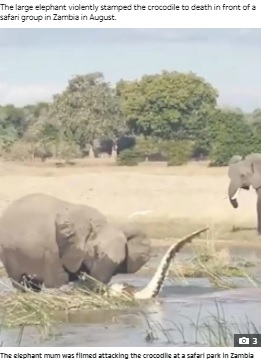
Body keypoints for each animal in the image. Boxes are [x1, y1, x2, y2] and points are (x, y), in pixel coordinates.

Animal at [0, 193, 150, 292]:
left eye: (121, 262)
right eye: (95, 251)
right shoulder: (54, 250)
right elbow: (56, 282)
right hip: (9, 251)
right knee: (20, 281)